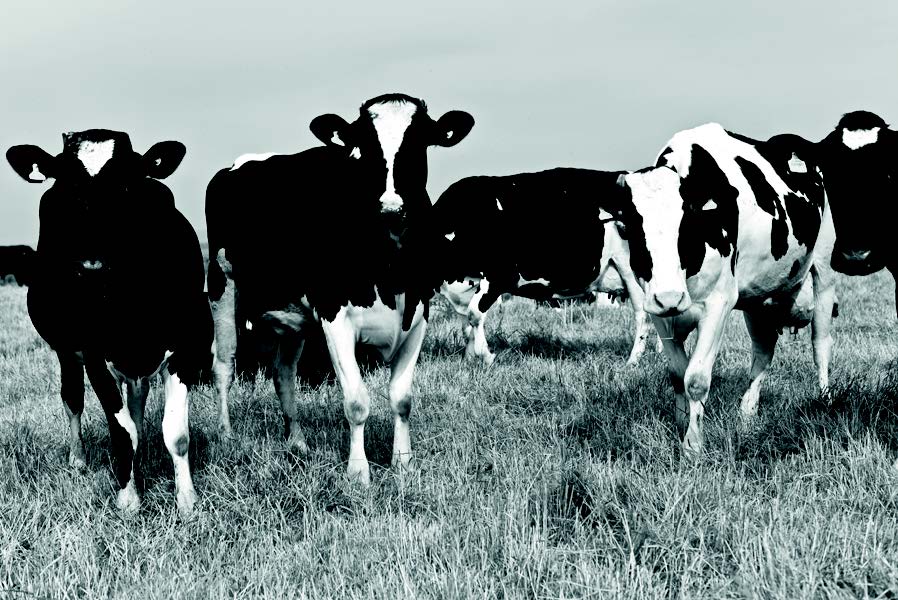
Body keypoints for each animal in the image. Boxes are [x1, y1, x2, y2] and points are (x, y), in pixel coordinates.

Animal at [5, 130, 212, 514]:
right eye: (66, 185)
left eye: (126, 184)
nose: (92, 263)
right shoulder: (94, 356)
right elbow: (121, 431)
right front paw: (129, 497)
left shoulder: (184, 347)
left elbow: (175, 432)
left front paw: (187, 501)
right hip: (66, 349)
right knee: (73, 399)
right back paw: (78, 459)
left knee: (137, 401)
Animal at [206, 93, 474, 484]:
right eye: (365, 147)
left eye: (418, 144)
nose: (390, 208)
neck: (390, 269)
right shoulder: (335, 316)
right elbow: (357, 401)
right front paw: (358, 472)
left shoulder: (419, 314)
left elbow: (402, 398)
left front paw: (403, 463)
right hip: (221, 284)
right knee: (224, 364)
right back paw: (226, 438)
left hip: (292, 314)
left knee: (283, 373)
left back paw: (297, 442)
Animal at [433, 168, 660, 366]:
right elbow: (466, 325)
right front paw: (469, 358)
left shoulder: (500, 275)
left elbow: (474, 314)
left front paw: (486, 356)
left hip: (630, 271)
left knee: (643, 315)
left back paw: (633, 361)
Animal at [616, 123, 836, 456]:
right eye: (634, 228)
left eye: (687, 225)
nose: (670, 297)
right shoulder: (659, 311)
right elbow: (677, 374)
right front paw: (682, 424)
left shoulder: (718, 302)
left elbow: (695, 379)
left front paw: (693, 445)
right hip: (759, 297)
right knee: (763, 351)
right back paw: (747, 412)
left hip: (824, 271)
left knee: (820, 342)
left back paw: (824, 398)